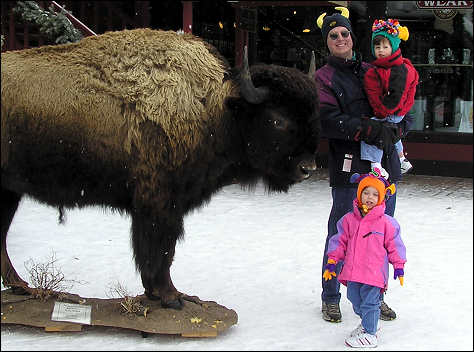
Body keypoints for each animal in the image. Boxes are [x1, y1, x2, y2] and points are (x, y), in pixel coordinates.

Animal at [0, 28, 318, 308]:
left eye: (311, 115)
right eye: (277, 119)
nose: (308, 167)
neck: (215, 109)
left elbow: (163, 251)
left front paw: (163, 293)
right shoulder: (159, 203)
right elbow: (159, 250)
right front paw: (170, 296)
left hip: (10, 193)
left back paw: (21, 286)